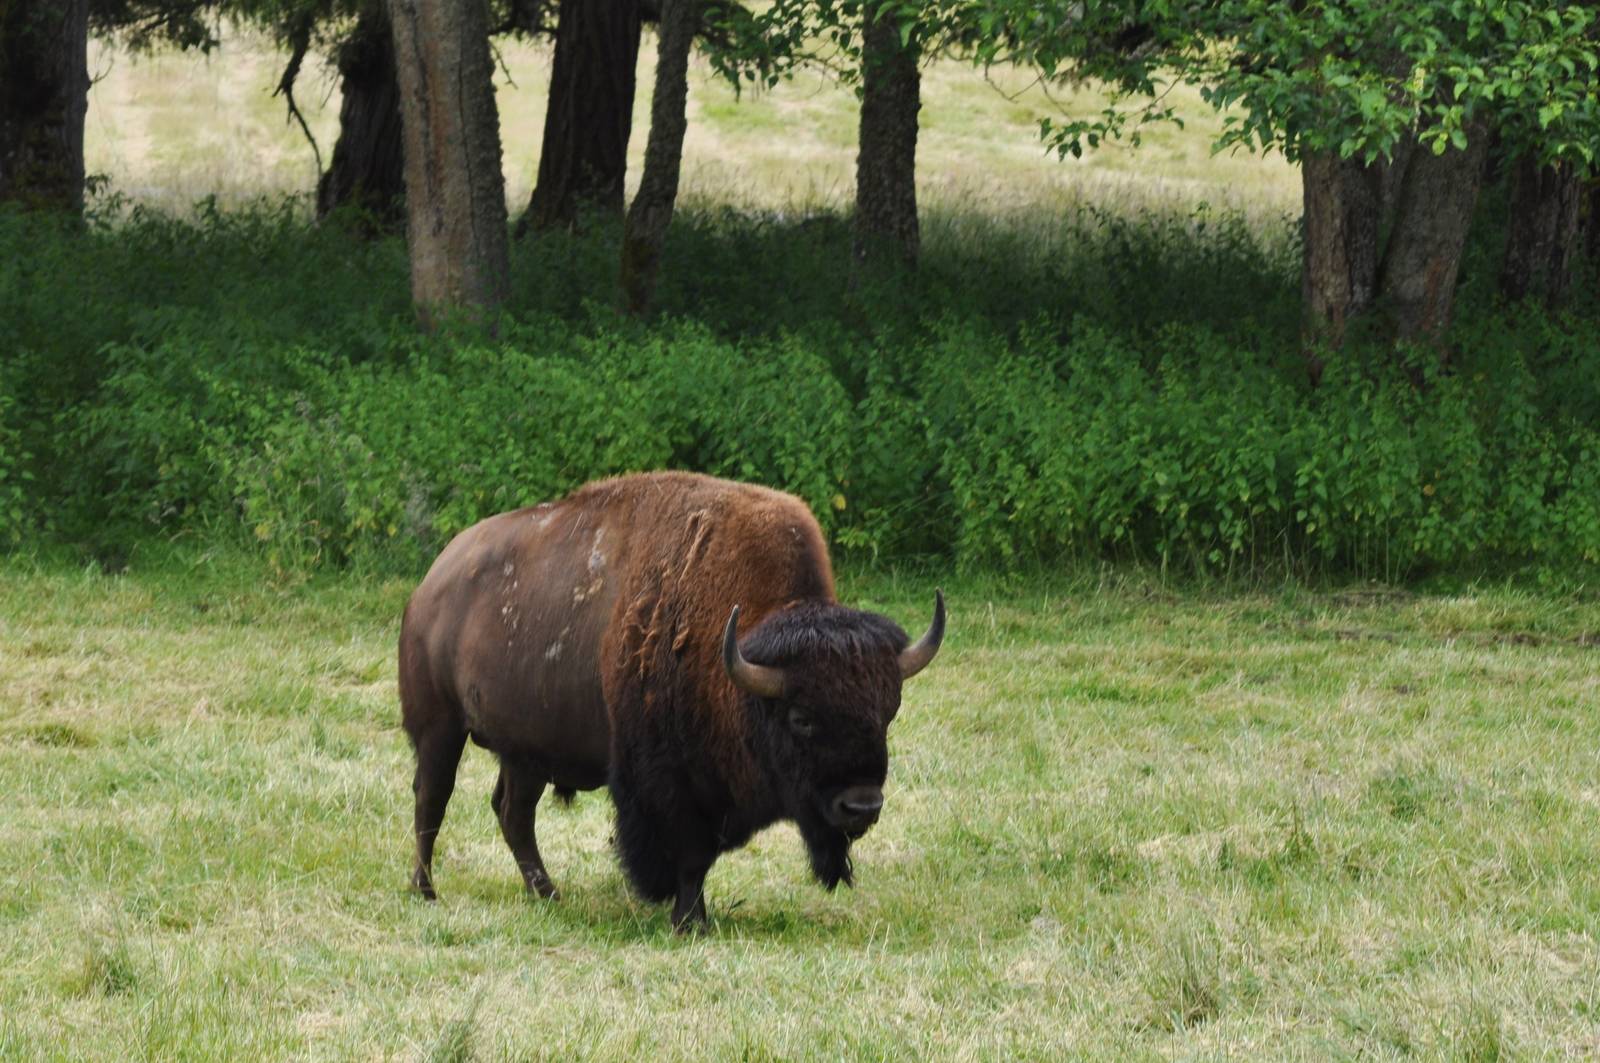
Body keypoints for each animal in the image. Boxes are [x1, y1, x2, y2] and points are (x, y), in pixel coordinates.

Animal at [399, 471, 944, 930]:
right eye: (801, 718)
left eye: (887, 713)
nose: (862, 805)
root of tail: (432, 583)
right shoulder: (668, 785)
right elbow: (689, 856)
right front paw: (690, 921)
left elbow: (700, 859)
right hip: (440, 730)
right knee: (432, 800)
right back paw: (426, 891)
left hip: (525, 751)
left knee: (513, 812)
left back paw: (548, 894)